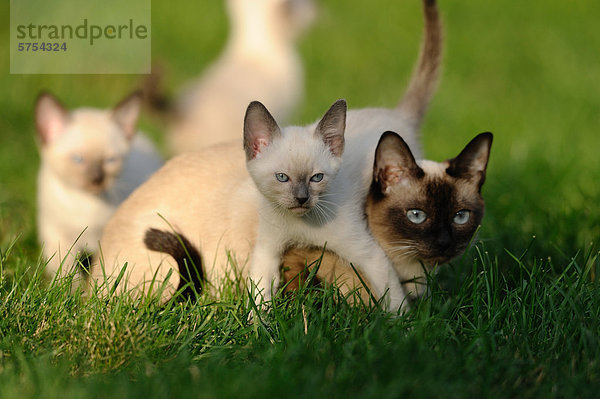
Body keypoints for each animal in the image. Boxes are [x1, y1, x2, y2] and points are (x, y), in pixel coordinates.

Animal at [37, 92, 164, 282]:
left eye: (110, 160)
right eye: (78, 159)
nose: (97, 179)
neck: (86, 203)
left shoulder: (108, 237)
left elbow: (103, 270)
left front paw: (96, 288)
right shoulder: (58, 234)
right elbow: (66, 271)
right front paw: (74, 289)